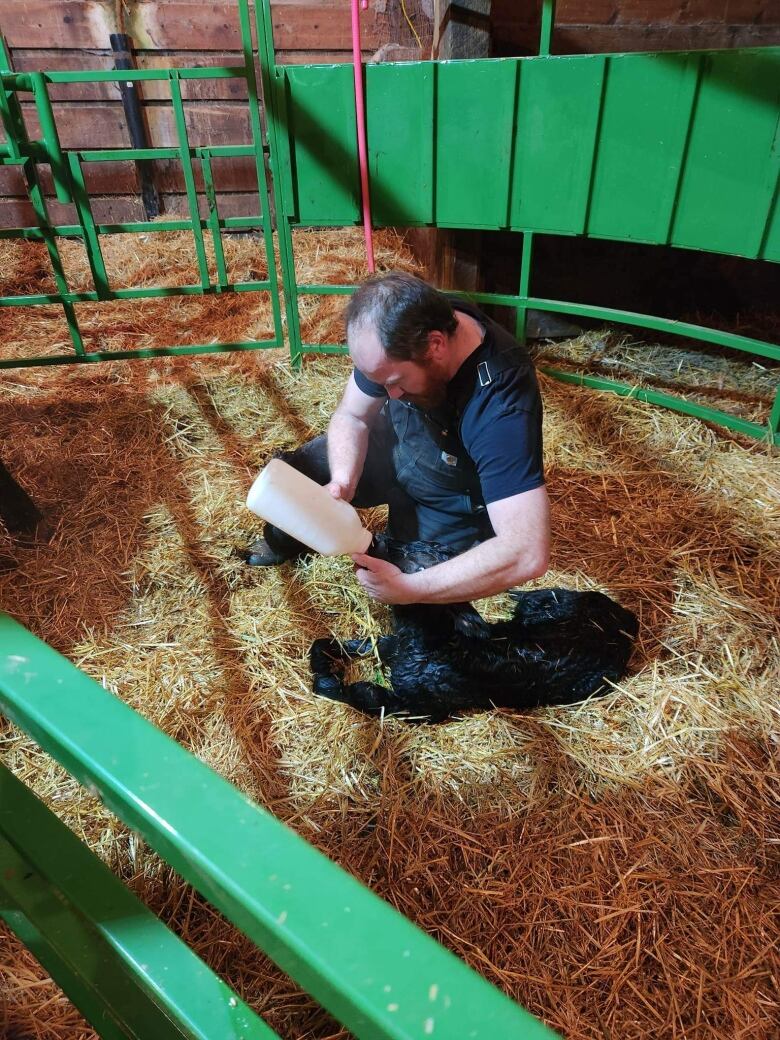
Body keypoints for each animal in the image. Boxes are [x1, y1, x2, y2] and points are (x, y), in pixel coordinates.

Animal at [307, 536, 636, 723]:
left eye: (420, 569)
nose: (376, 541)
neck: (437, 644)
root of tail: (626, 622)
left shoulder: (425, 707)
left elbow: (366, 695)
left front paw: (329, 682)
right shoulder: (392, 646)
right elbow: (340, 644)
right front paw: (323, 663)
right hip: (552, 604)